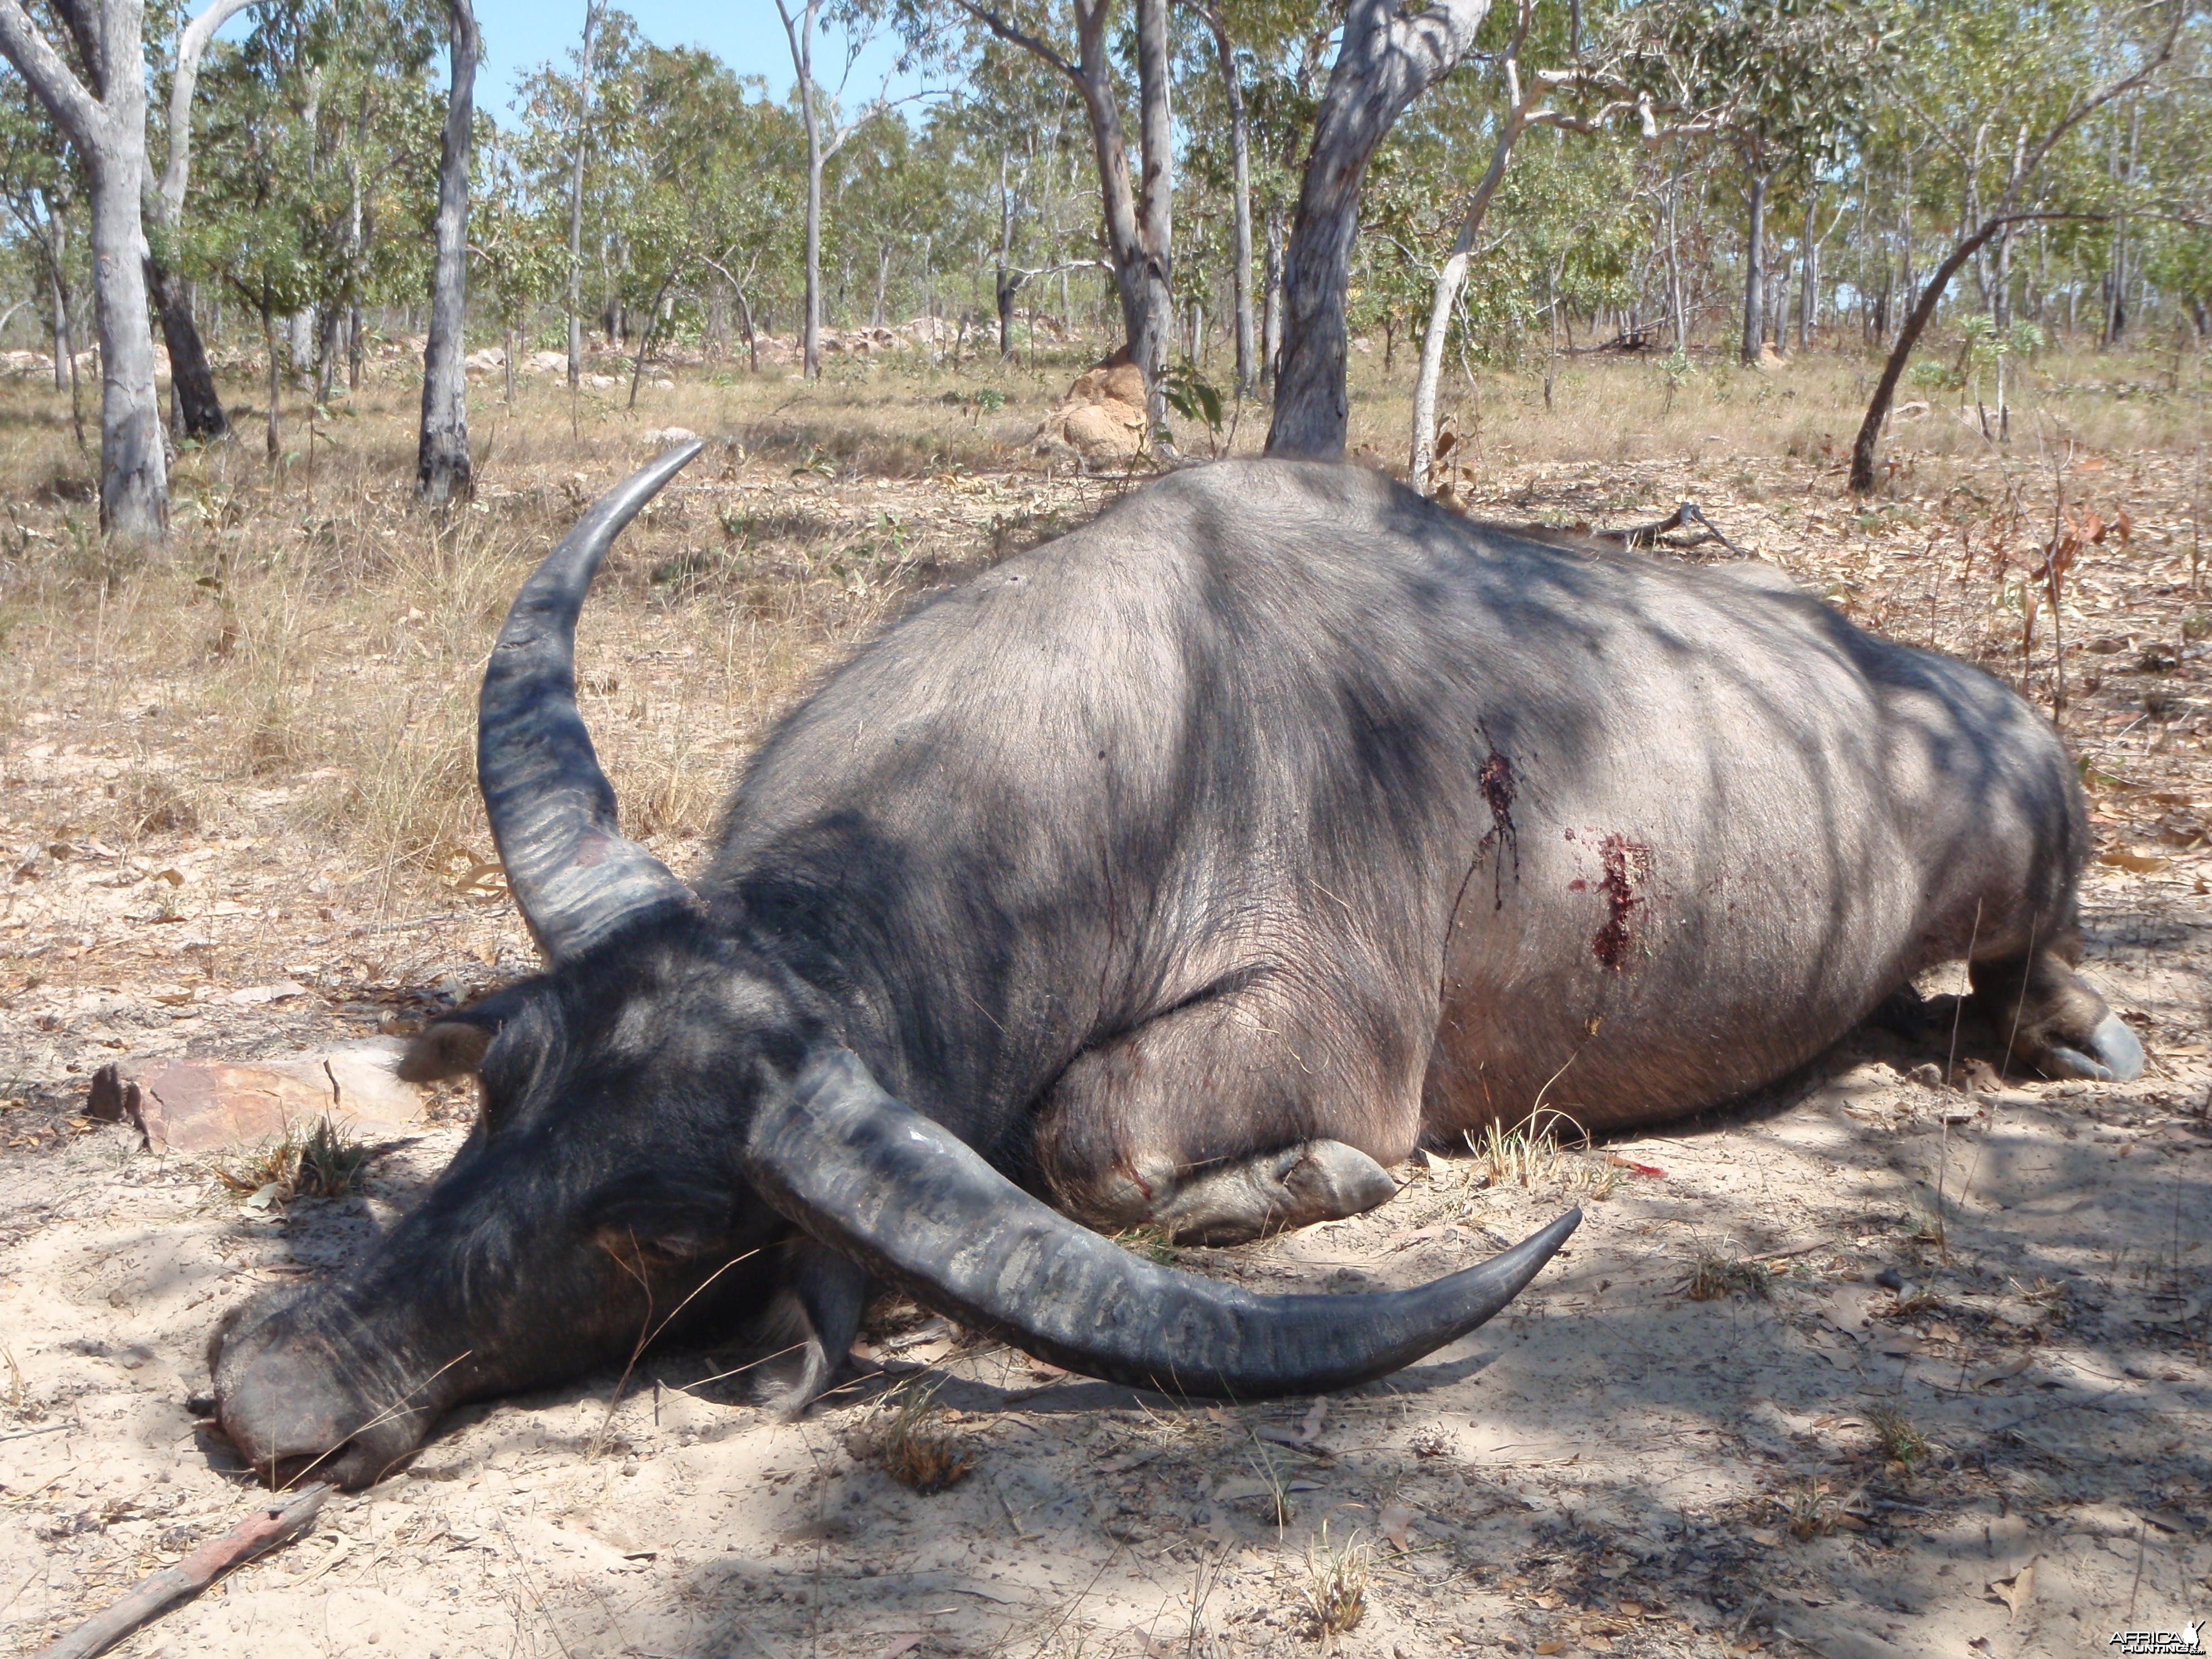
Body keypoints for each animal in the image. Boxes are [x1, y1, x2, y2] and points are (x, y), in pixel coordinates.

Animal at [211, 444, 2141, 1495]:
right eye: (509, 1079)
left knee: (2027, 969)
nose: (266, 1386)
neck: (1136, 746)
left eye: (663, 1231)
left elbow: (1089, 1138)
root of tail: (1962, 703)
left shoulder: (1318, 1044)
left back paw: (2072, 1030)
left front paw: (1318, 1180)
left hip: (2031, 860)